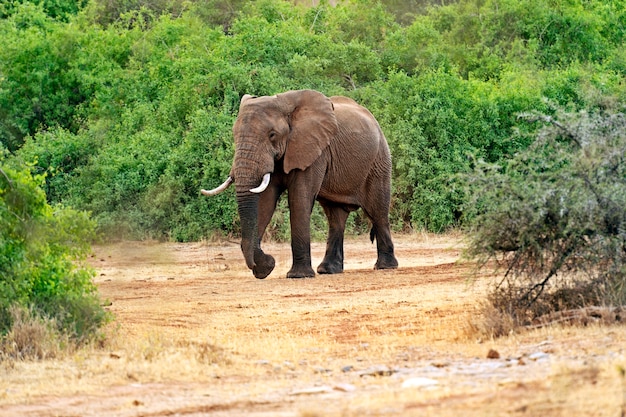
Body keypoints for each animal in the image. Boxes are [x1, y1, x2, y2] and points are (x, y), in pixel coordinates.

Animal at [202, 90, 398, 280]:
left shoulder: (313, 150)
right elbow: (265, 201)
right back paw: (328, 270)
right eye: (234, 135)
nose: (269, 259)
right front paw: (265, 270)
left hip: (379, 161)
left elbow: (299, 199)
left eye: (272, 135)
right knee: (335, 217)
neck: (283, 103)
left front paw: (298, 276)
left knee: (377, 211)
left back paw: (385, 266)